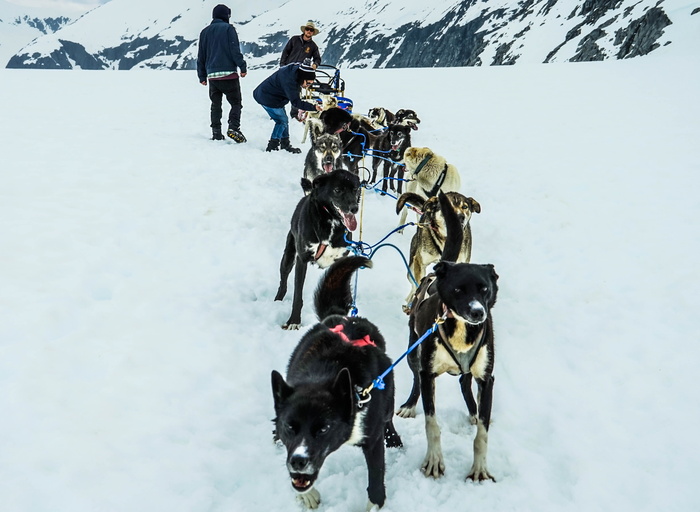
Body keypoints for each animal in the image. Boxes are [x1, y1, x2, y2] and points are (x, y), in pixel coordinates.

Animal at [274, 170, 360, 330]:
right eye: (337, 190)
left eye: (355, 189)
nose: (354, 208)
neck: (330, 222)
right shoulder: (302, 260)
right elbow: (297, 296)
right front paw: (294, 321)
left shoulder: (342, 260)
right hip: (288, 257)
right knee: (283, 281)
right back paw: (277, 300)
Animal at [274, 256, 404, 508]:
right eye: (290, 427)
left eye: (323, 428)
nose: (298, 461)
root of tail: (346, 317)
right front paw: (307, 495)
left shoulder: (372, 440)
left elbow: (376, 482)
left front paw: (375, 502)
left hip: (388, 394)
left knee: (389, 417)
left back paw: (394, 439)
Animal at [396, 192, 500, 484]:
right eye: (457, 289)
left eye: (484, 289)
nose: (478, 312)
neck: (461, 331)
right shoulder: (429, 372)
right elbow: (431, 423)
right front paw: (433, 462)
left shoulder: (487, 378)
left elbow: (483, 435)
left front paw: (480, 469)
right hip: (413, 352)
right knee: (416, 378)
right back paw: (410, 404)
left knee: (466, 384)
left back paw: (474, 411)